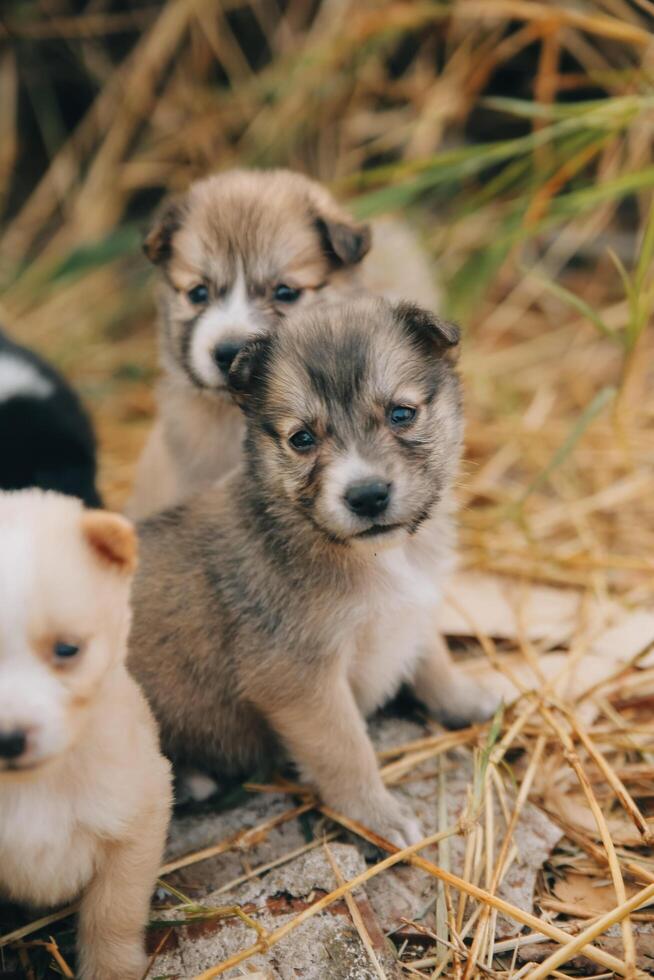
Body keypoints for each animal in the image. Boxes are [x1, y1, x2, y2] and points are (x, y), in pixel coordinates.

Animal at [127, 296, 498, 844]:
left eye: (401, 414)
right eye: (302, 438)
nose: (367, 496)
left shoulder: (414, 608)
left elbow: (433, 661)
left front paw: (467, 699)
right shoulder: (301, 680)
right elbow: (346, 750)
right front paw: (379, 816)